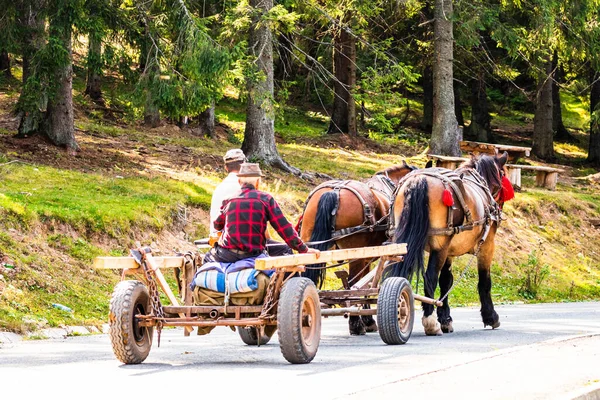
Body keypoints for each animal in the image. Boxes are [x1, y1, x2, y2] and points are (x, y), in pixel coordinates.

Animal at [298, 162, 418, 334]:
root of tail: (335, 191)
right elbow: (365, 285)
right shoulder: (365, 257)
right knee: (352, 284)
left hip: (310, 246)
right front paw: (367, 320)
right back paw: (355, 324)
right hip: (355, 254)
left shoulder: (366, 257)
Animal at [390, 152, 516, 336]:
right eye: (500, 182)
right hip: (439, 246)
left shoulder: (449, 251)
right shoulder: (486, 245)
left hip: (402, 241)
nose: (497, 209)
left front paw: (445, 318)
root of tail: (419, 180)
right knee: (430, 277)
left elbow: (446, 281)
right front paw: (490, 316)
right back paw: (430, 321)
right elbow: (484, 281)